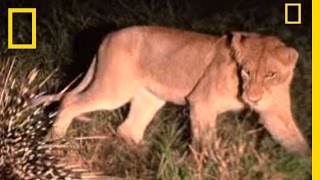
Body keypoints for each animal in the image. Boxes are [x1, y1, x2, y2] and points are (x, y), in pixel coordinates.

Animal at [35, 26, 310, 157]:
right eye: (246, 71)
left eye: (271, 74)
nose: (253, 98)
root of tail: (108, 35)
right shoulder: (202, 103)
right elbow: (205, 142)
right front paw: (207, 164)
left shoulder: (275, 113)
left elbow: (297, 142)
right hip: (114, 90)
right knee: (69, 100)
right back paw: (55, 140)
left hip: (150, 98)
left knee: (127, 128)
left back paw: (147, 154)